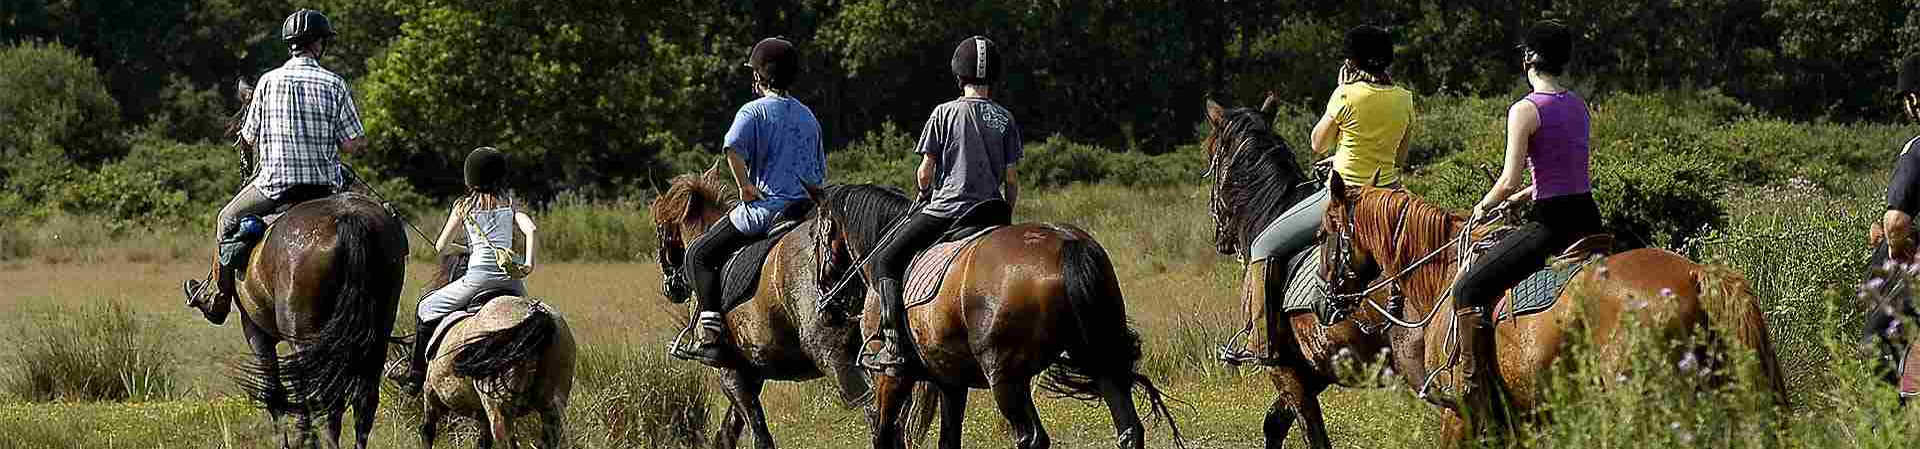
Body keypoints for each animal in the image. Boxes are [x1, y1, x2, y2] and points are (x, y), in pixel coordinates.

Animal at [201, 193, 408, 449]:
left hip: (305, 339)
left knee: (324, 399)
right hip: (375, 338)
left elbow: (275, 392)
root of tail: (349, 219)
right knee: (363, 400)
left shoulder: (255, 331)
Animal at [652, 165, 936, 449]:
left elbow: (758, 433)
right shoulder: (750, 372)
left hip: (835, 357)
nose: (671, 287)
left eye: (660, 227)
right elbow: (728, 433)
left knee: (877, 415)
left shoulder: (731, 372)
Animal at [814, 183, 1182, 449]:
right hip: (1091, 358)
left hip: (1004, 377)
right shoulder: (950, 381)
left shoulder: (891, 376)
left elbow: (884, 434)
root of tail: (1066, 242)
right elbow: (948, 441)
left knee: (1031, 438)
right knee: (1128, 429)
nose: (827, 300)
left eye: (818, 236)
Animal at [1190, 99, 1390, 449]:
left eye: (1209, 149)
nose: (1220, 240)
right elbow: (1275, 422)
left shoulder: (1285, 369)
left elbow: (1306, 432)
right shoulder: (1315, 367)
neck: (1270, 210)